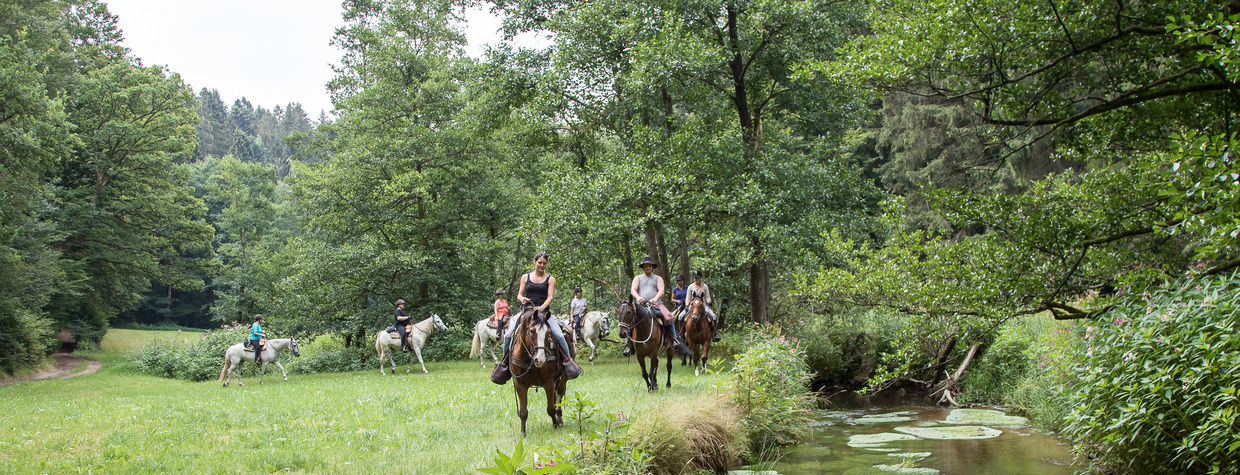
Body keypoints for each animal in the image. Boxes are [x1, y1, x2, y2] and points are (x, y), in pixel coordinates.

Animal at [510, 308, 572, 436]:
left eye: (549, 333)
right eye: (532, 331)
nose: (540, 359)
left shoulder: (548, 382)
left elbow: (550, 408)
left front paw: (555, 427)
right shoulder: (519, 383)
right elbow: (523, 411)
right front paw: (523, 433)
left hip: (563, 377)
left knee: (559, 394)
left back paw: (559, 420)